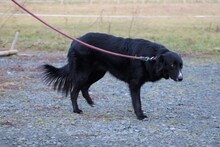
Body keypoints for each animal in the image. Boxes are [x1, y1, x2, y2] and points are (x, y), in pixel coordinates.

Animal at [42, 32, 183, 119]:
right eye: (172, 65)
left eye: (181, 66)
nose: (181, 78)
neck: (151, 57)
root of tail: (75, 42)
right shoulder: (134, 84)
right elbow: (137, 102)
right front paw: (140, 116)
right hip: (83, 73)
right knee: (74, 92)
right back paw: (77, 110)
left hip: (98, 73)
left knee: (85, 87)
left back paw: (91, 103)